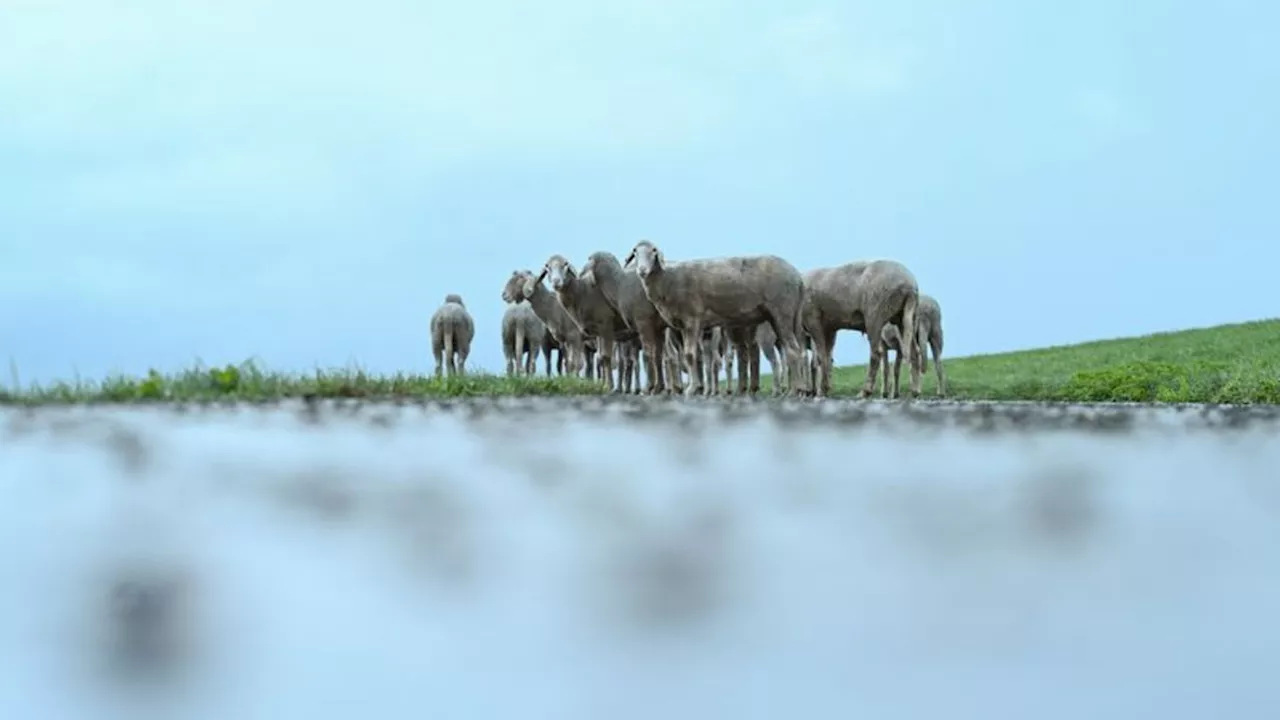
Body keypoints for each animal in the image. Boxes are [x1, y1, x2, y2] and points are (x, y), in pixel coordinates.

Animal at [540, 254, 634, 392]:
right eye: (547, 266)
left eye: (565, 264)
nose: (556, 282)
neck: (583, 291)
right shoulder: (595, 333)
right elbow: (598, 358)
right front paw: (602, 384)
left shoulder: (605, 327)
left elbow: (604, 357)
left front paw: (607, 386)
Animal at [622, 240, 808, 397]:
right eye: (635, 252)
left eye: (654, 251)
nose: (642, 270)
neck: (667, 280)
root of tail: (797, 277)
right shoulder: (685, 325)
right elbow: (691, 356)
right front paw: (695, 387)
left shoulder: (692, 319)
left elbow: (690, 355)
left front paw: (691, 389)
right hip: (788, 316)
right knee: (796, 350)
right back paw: (798, 388)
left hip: (782, 312)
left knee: (792, 350)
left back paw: (794, 391)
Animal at [798, 258, 921, 397]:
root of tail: (909, 285)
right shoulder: (829, 327)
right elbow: (827, 356)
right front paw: (825, 388)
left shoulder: (813, 320)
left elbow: (821, 356)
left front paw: (821, 391)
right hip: (906, 316)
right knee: (914, 351)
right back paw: (915, 390)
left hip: (875, 313)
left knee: (876, 353)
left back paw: (865, 391)